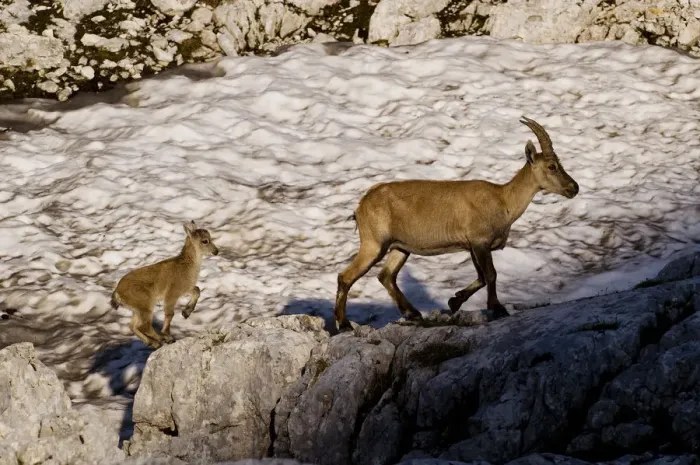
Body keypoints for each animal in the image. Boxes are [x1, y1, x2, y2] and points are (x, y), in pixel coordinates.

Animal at [333, 117, 579, 331]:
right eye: (552, 166)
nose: (574, 188)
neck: (502, 199)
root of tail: (361, 205)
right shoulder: (480, 242)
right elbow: (491, 275)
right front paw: (496, 308)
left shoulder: (472, 246)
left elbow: (481, 277)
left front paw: (455, 301)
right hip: (374, 243)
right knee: (345, 277)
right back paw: (344, 324)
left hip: (400, 247)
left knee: (386, 275)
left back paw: (413, 313)